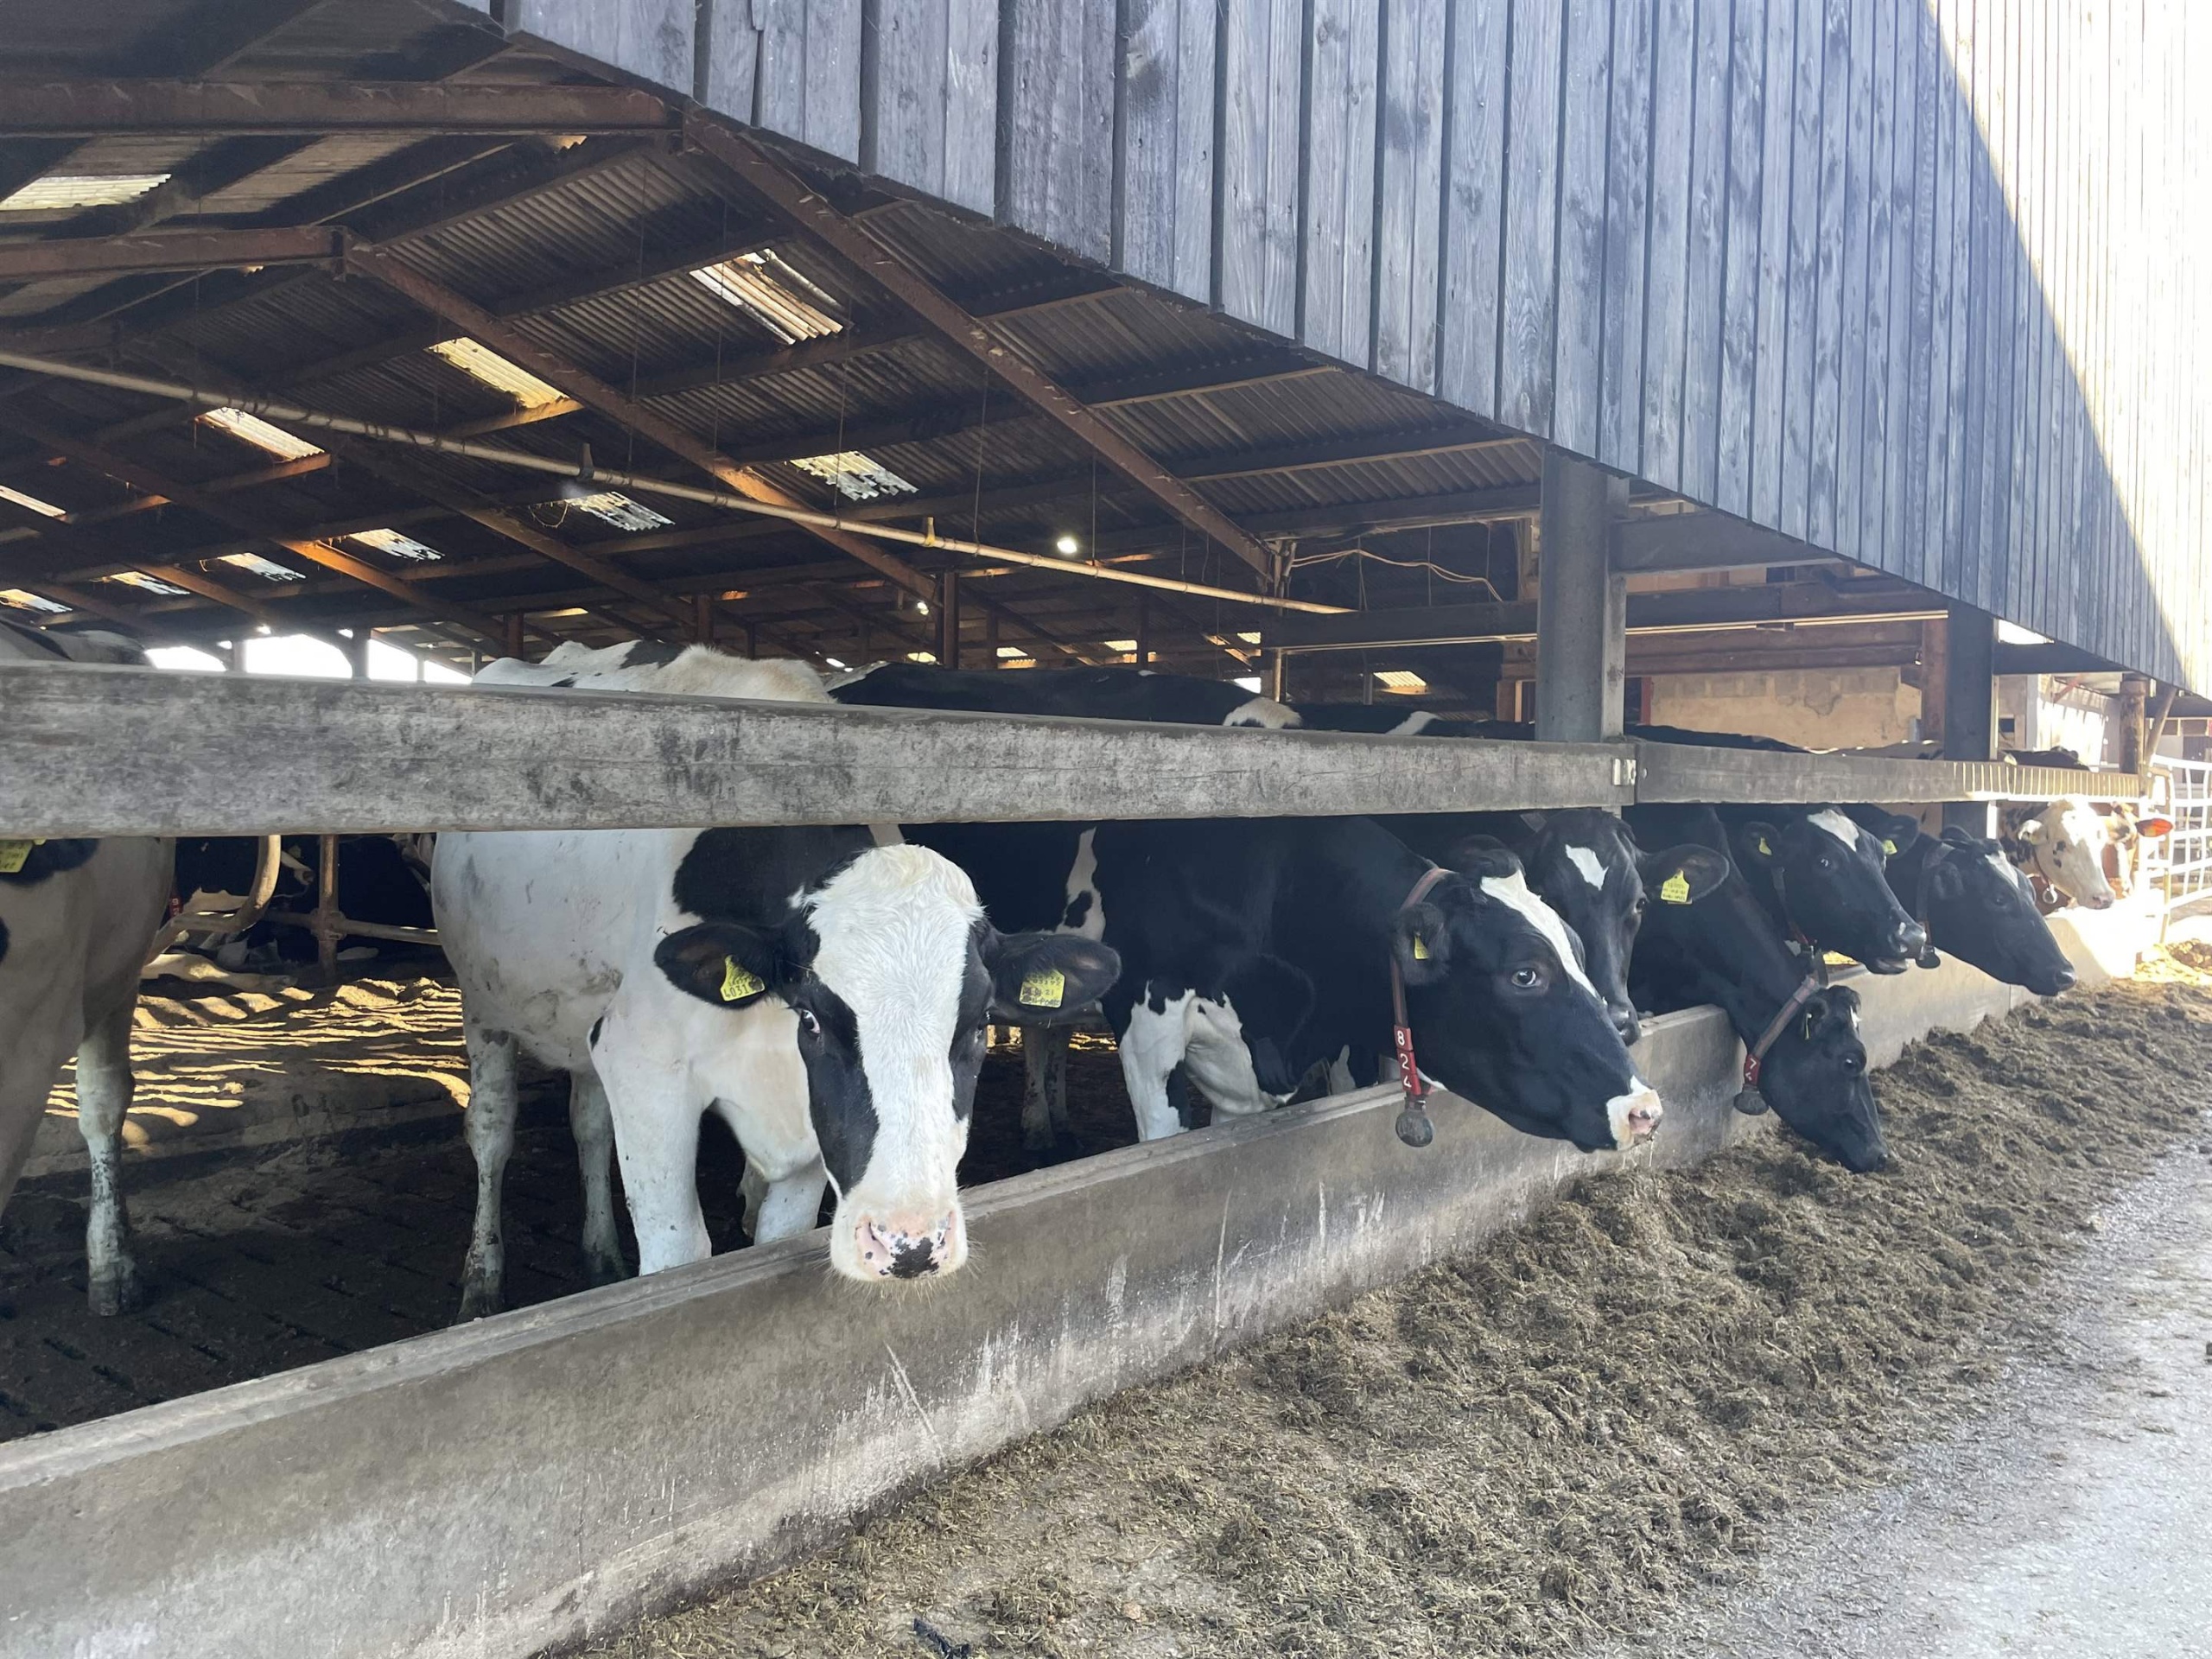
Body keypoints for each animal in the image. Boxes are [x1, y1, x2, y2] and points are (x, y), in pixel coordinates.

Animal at [427, 641, 1123, 1318]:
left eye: (978, 1026)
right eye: (811, 1018)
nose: (910, 1244)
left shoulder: (806, 1123)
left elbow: (773, 1240)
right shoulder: (644, 1063)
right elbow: (678, 1256)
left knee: (589, 1124)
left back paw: (600, 1255)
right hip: (484, 1003)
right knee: (492, 1130)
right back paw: (482, 1282)